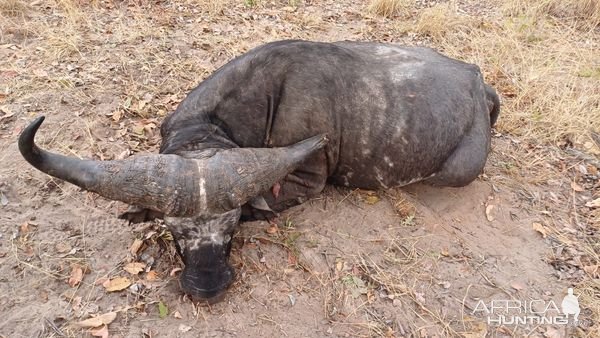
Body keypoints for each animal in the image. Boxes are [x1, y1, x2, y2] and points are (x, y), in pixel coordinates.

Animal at [17, 40, 496, 302]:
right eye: (174, 230)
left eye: (232, 229)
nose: (207, 285)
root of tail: (476, 81)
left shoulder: (307, 180)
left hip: (455, 171)